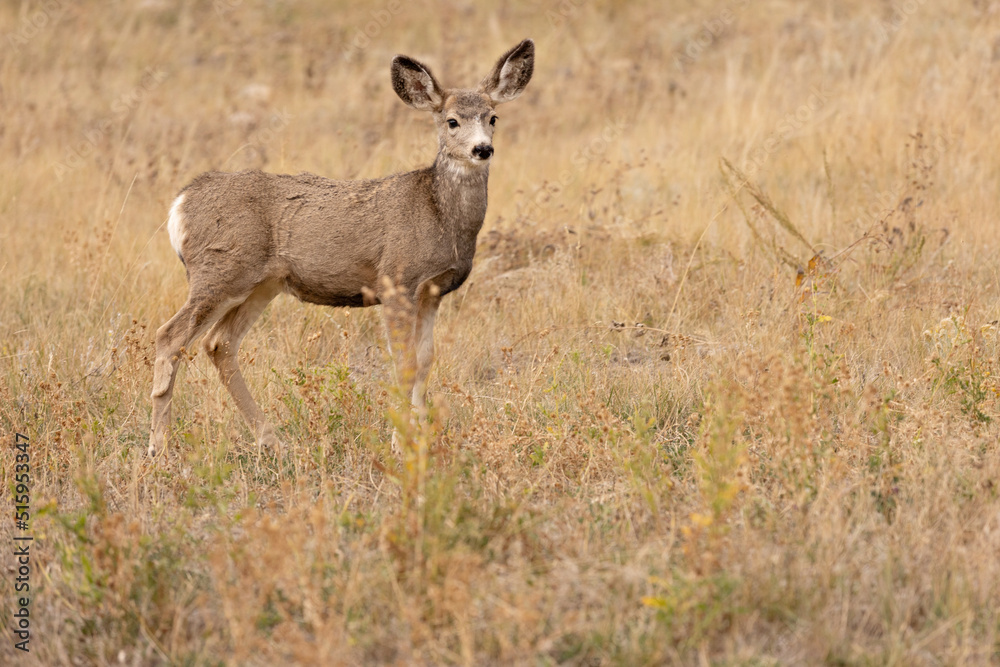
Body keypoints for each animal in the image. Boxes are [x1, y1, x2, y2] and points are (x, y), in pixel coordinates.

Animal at [146, 39, 536, 460]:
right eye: (451, 121)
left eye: (493, 117)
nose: (482, 149)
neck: (439, 216)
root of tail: (180, 204)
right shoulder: (396, 279)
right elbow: (404, 362)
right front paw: (400, 442)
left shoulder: (433, 291)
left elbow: (426, 360)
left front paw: (421, 438)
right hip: (220, 271)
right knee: (170, 337)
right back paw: (158, 447)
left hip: (261, 284)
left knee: (219, 344)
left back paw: (272, 440)